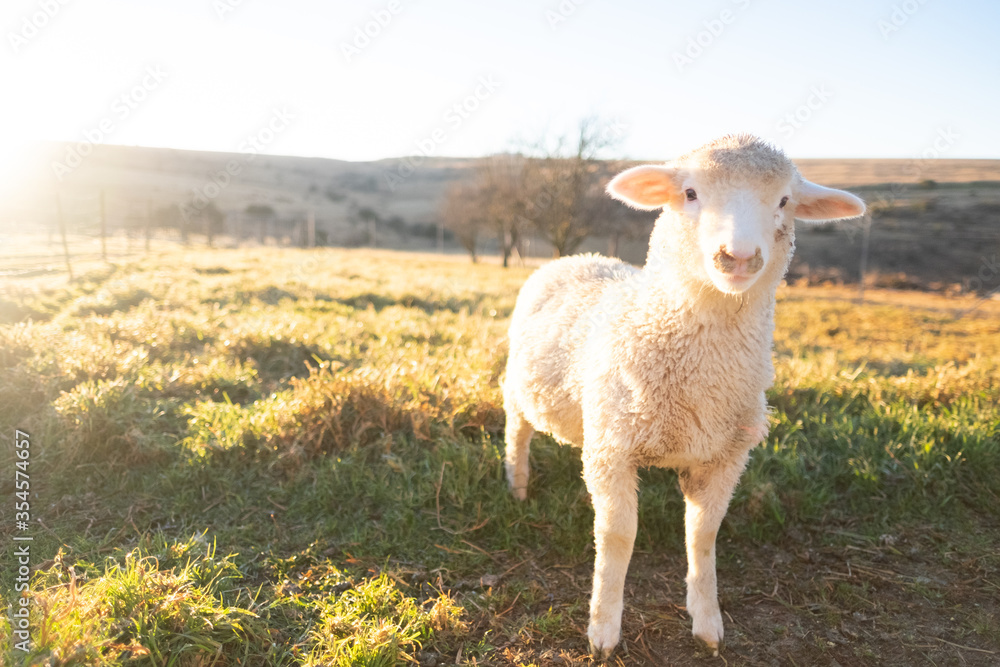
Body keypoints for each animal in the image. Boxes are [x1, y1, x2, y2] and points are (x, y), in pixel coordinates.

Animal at [502, 134, 865, 658]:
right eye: (690, 193)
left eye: (783, 201)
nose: (738, 257)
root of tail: (578, 257)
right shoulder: (612, 449)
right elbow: (617, 535)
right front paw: (603, 629)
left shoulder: (725, 455)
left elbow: (703, 535)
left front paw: (707, 621)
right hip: (519, 387)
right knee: (518, 432)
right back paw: (518, 484)